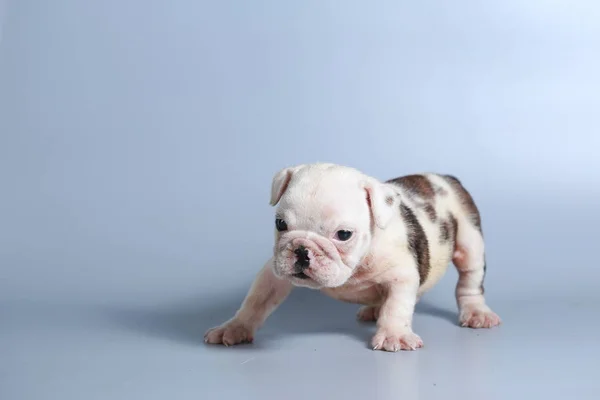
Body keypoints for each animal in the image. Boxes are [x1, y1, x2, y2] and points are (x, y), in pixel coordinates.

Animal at [204, 162, 500, 350]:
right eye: (280, 224)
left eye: (343, 234)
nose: (301, 250)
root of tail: (445, 177)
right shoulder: (273, 273)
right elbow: (255, 302)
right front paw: (235, 327)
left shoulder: (402, 277)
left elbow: (397, 306)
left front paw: (394, 335)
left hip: (470, 242)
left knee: (469, 281)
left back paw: (476, 312)